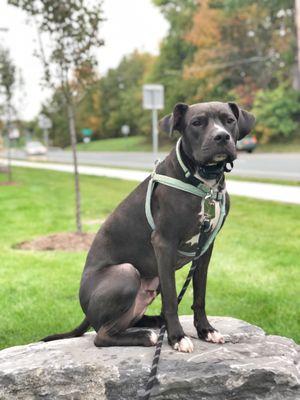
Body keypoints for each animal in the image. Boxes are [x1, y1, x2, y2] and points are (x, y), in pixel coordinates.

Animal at [44, 101, 255, 354]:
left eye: (229, 120)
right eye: (197, 122)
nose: (222, 136)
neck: (204, 183)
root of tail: (86, 312)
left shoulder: (205, 249)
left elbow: (200, 295)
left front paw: (205, 330)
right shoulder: (164, 244)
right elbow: (172, 299)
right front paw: (177, 337)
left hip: (151, 283)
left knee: (127, 321)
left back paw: (154, 322)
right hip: (126, 271)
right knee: (102, 335)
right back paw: (148, 335)